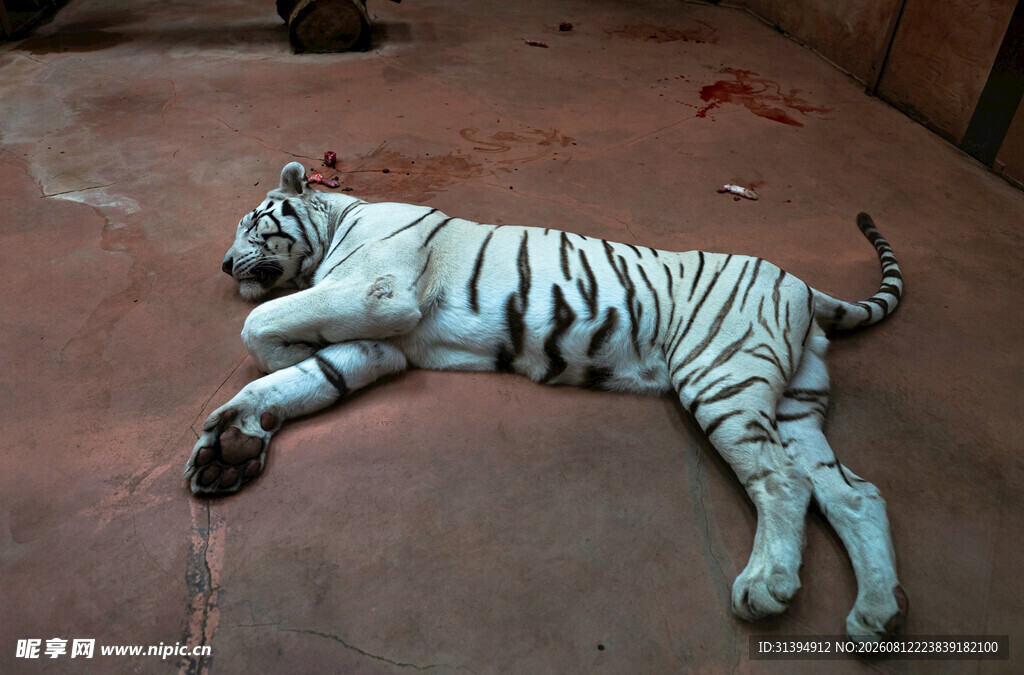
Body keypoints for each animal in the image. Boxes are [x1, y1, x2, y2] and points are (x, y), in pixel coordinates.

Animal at [185, 161, 907, 640]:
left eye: (251, 223)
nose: (221, 265)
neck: (339, 220)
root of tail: (804, 284)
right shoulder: (382, 344)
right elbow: (306, 373)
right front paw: (234, 443)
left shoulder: (379, 292)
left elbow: (260, 324)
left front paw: (277, 353)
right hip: (792, 405)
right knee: (853, 492)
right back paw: (878, 610)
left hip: (722, 376)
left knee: (784, 481)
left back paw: (766, 584)